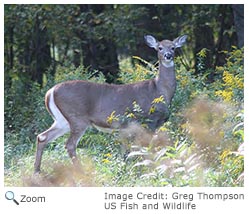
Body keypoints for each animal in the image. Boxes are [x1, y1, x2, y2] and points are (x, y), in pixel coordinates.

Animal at [34, 34, 187, 173]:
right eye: (159, 48)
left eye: (173, 47)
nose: (168, 55)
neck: (160, 90)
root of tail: (50, 92)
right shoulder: (150, 119)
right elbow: (147, 147)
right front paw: (150, 166)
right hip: (77, 117)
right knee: (69, 144)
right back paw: (81, 171)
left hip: (62, 120)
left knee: (42, 137)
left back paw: (37, 171)